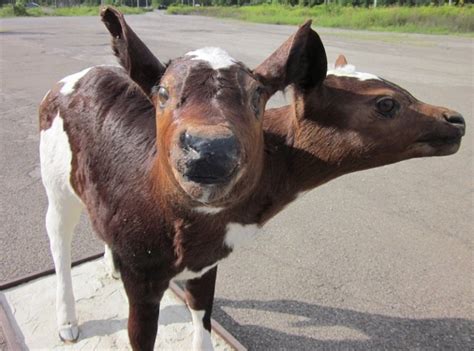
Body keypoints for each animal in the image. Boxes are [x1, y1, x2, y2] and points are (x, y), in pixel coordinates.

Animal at [39, 6, 322, 351]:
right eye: (163, 92)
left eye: (257, 95)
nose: (210, 148)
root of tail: (81, 74)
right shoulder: (142, 276)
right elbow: (141, 335)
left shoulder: (206, 263)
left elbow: (202, 313)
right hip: (55, 184)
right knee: (58, 238)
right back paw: (67, 322)